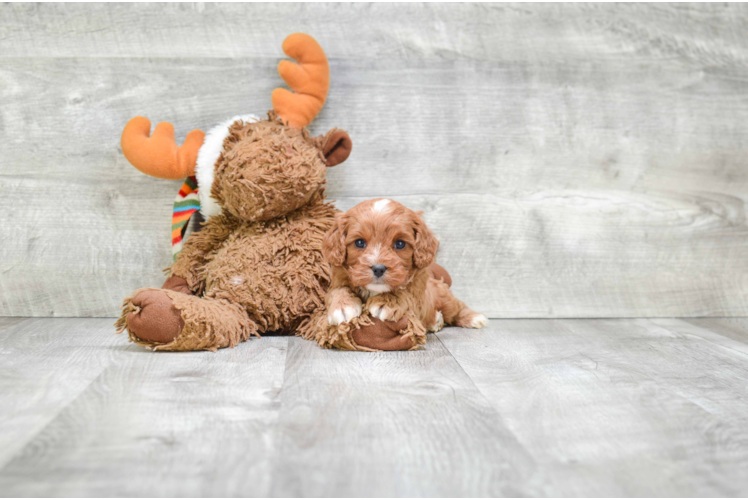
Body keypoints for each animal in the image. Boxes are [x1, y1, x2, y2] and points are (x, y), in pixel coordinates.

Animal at [320, 197, 486, 334]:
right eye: (359, 242)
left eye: (400, 244)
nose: (378, 268)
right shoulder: (337, 281)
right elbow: (339, 291)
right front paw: (342, 307)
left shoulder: (419, 297)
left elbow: (405, 293)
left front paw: (386, 302)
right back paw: (436, 322)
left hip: (444, 296)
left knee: (456, 307)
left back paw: (475, 318)